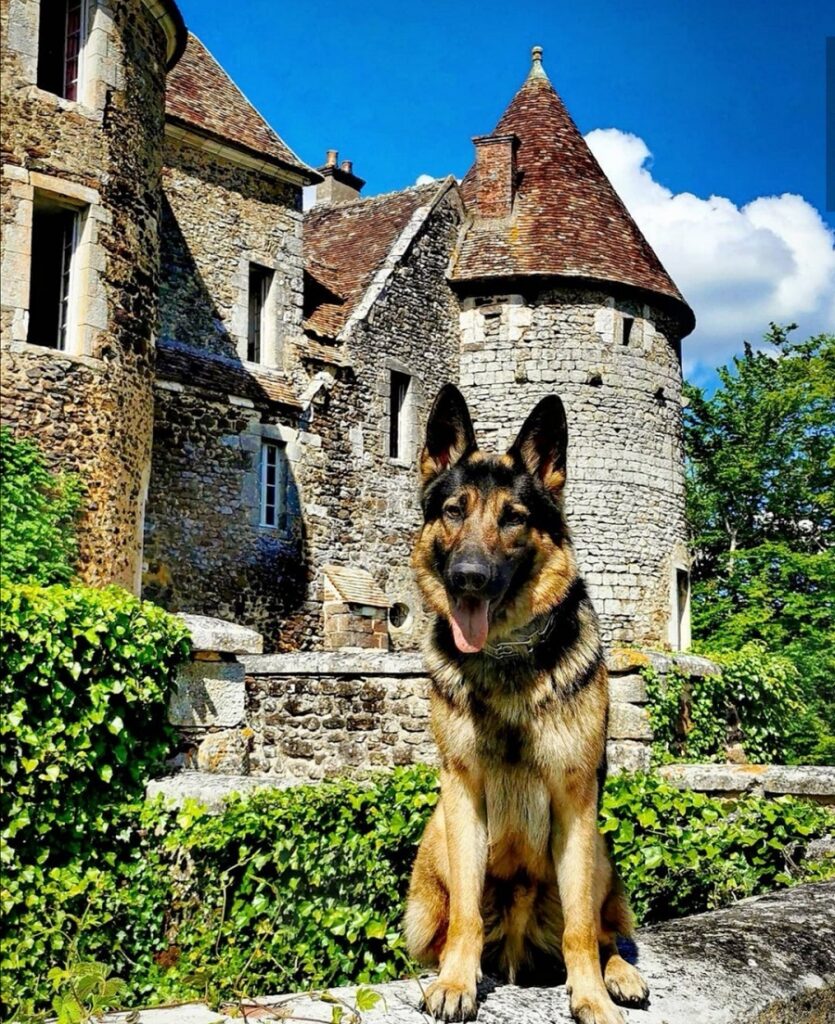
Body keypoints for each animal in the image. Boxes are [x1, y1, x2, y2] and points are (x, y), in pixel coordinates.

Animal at [405, 385, 647, 1024]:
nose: (468, 577)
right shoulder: (463, 795)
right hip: (435, 846)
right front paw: (456, 983)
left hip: (598, 851)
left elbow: (581, 930)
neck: (507, 653)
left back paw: (620, 976)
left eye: (513, 518)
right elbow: (465, 917)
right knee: (445, 929)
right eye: (454, 511)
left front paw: (590, 996)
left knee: (606, 931)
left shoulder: (574, 799)